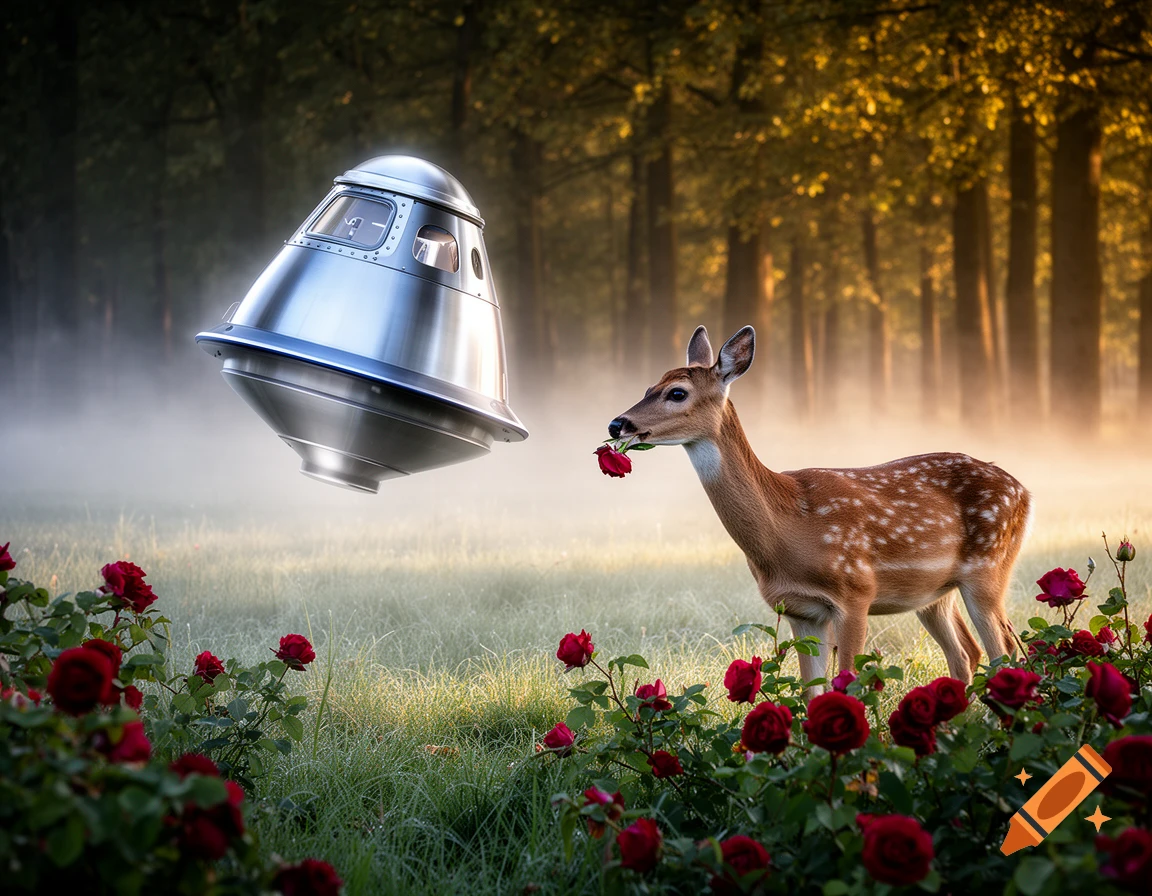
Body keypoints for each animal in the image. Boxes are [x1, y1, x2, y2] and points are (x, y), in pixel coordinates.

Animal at [608, 325, 1031, 696]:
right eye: (648, 387)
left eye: (677, 392)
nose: (616, 424)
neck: (789, 527)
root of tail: (1024, 491)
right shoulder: (800, 610)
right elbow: (812, 691)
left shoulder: (856, 592)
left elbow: (849, 684)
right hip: (934, 593)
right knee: (966, 653)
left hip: (988, 568)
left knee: (1004, 650)